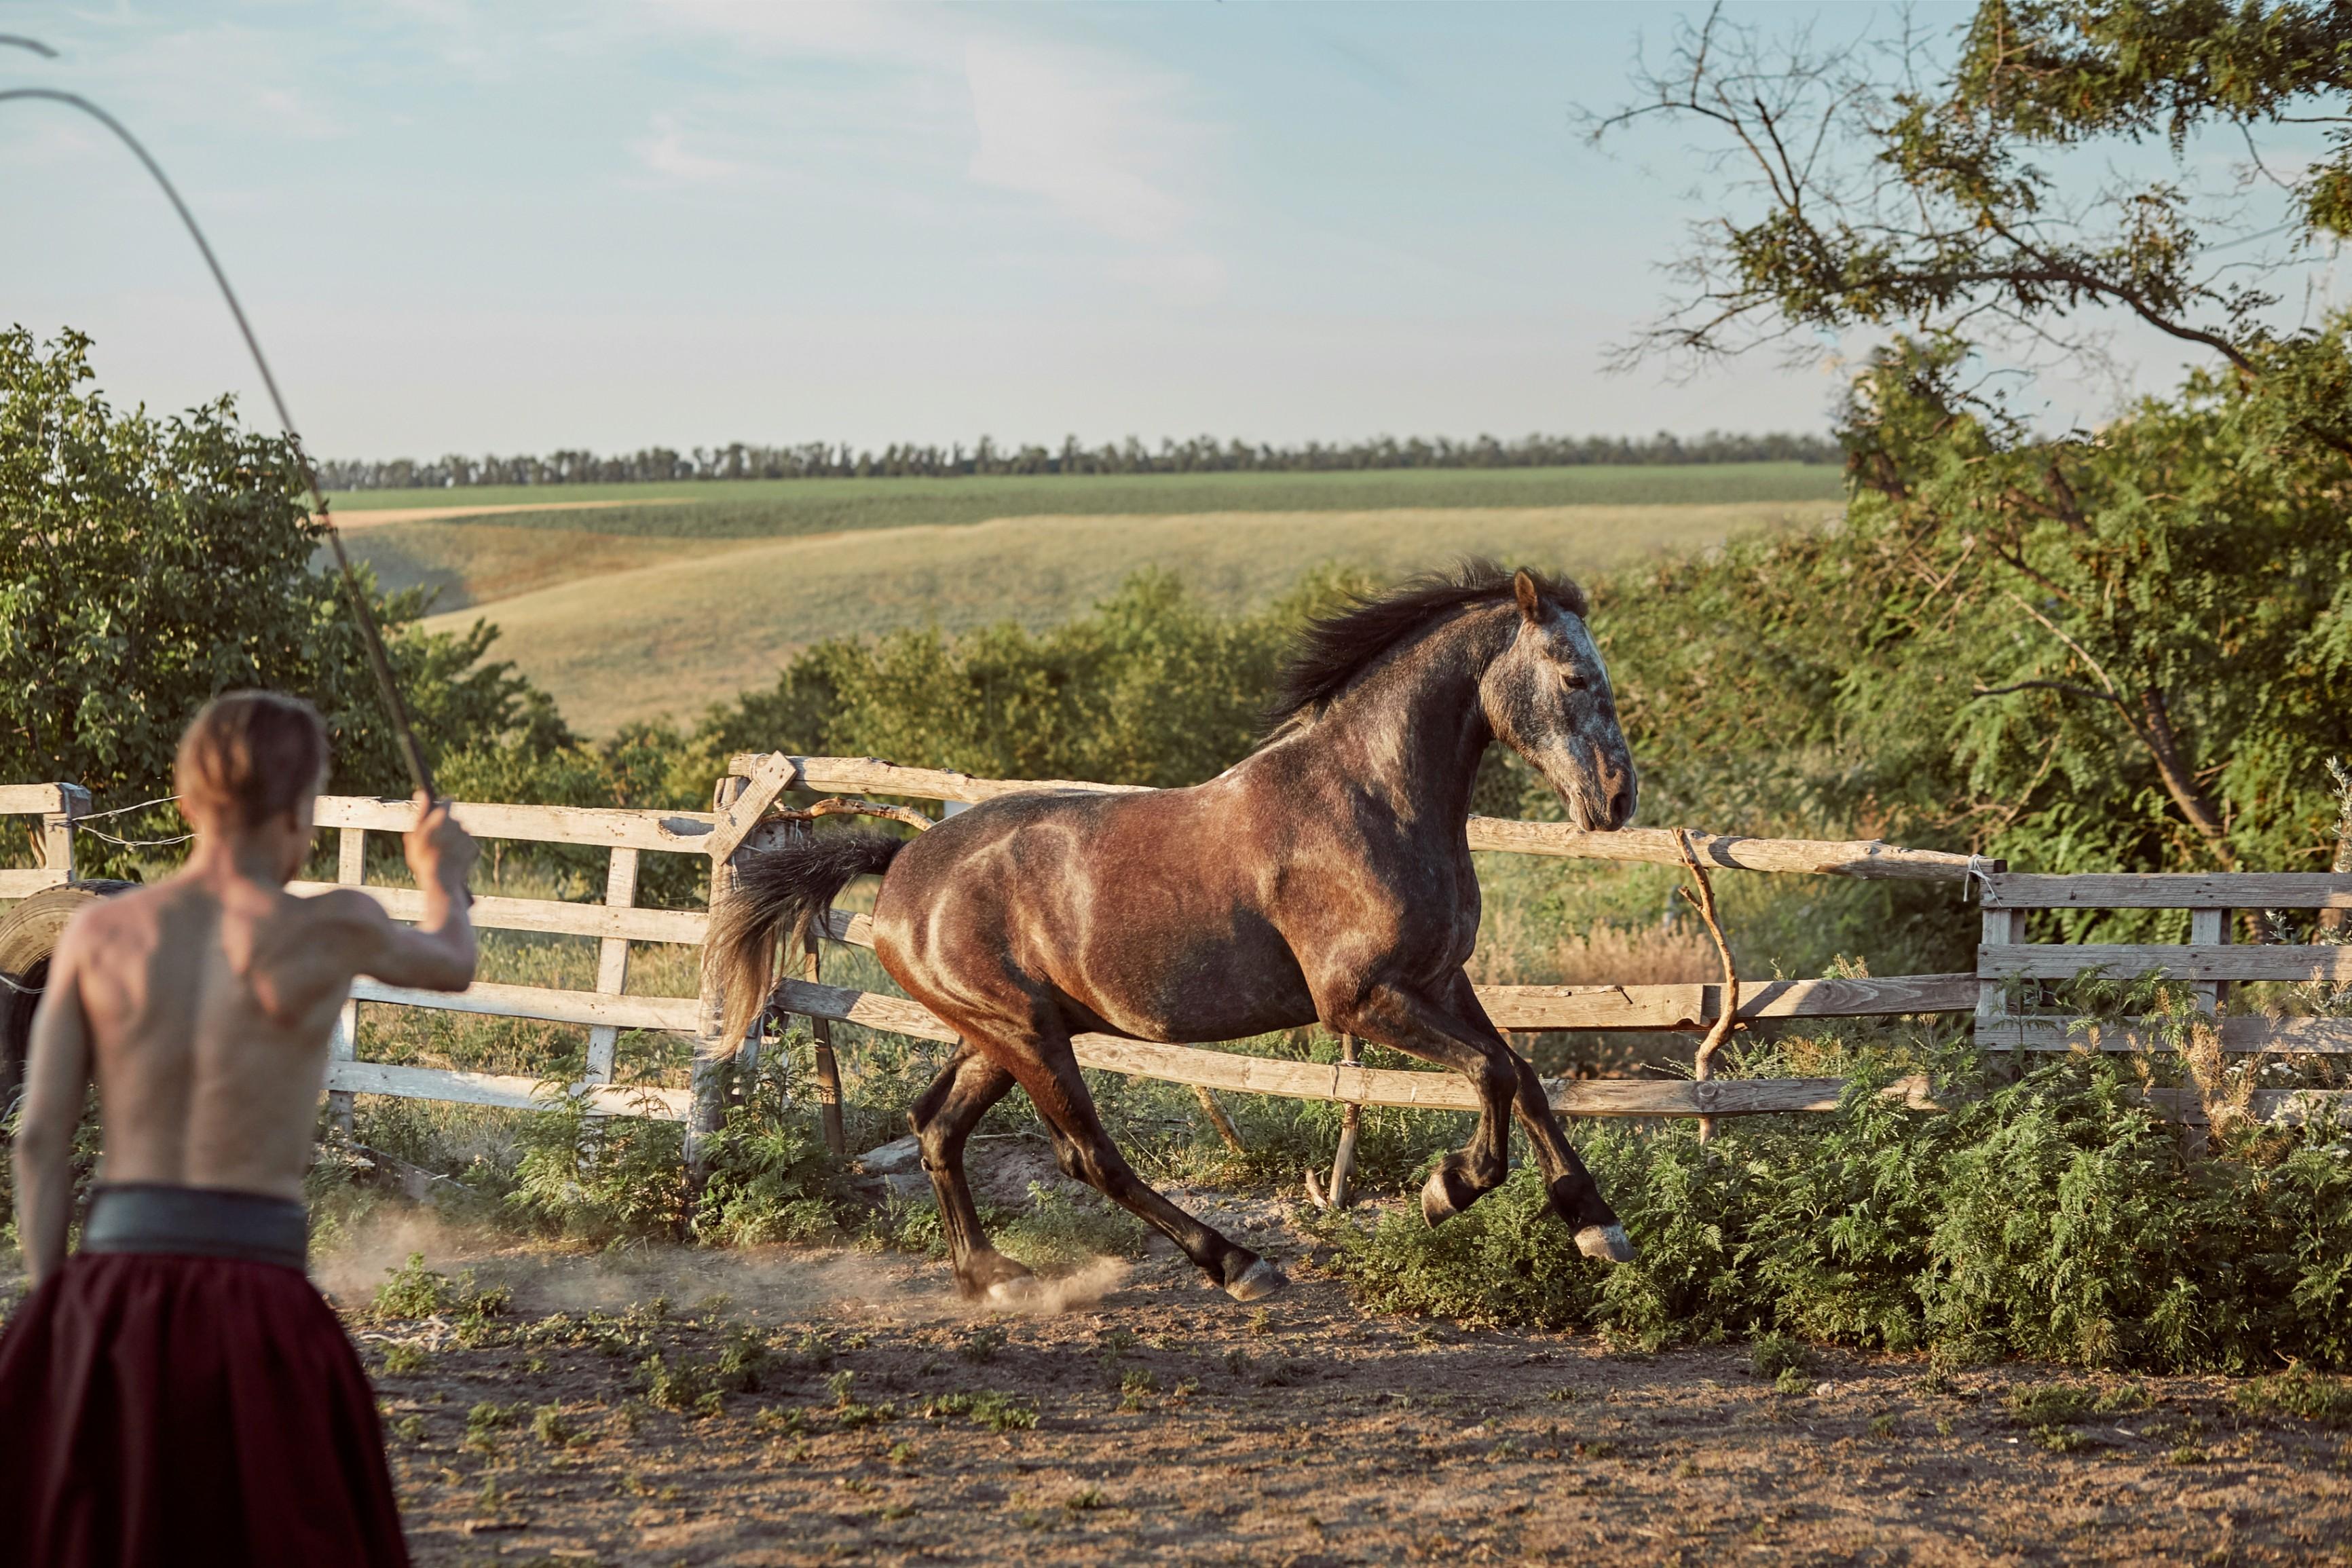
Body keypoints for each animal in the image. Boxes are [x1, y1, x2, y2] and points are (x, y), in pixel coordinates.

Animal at [705, 557, 1646, 1307]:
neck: (1369, 801)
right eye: (1573, 677)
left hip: (999, 1035)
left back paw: (995, 1279)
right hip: (1029, 1036)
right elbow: (1492, 1073)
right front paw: (1449, 1189)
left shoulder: (1445, 979)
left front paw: (1596, 1227)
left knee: (937, 1127)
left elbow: (1523, 1075)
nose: (1616, 799)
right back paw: (1237, 1264)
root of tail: (901, 865)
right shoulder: (1359, 1001)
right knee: (1089, 1157)